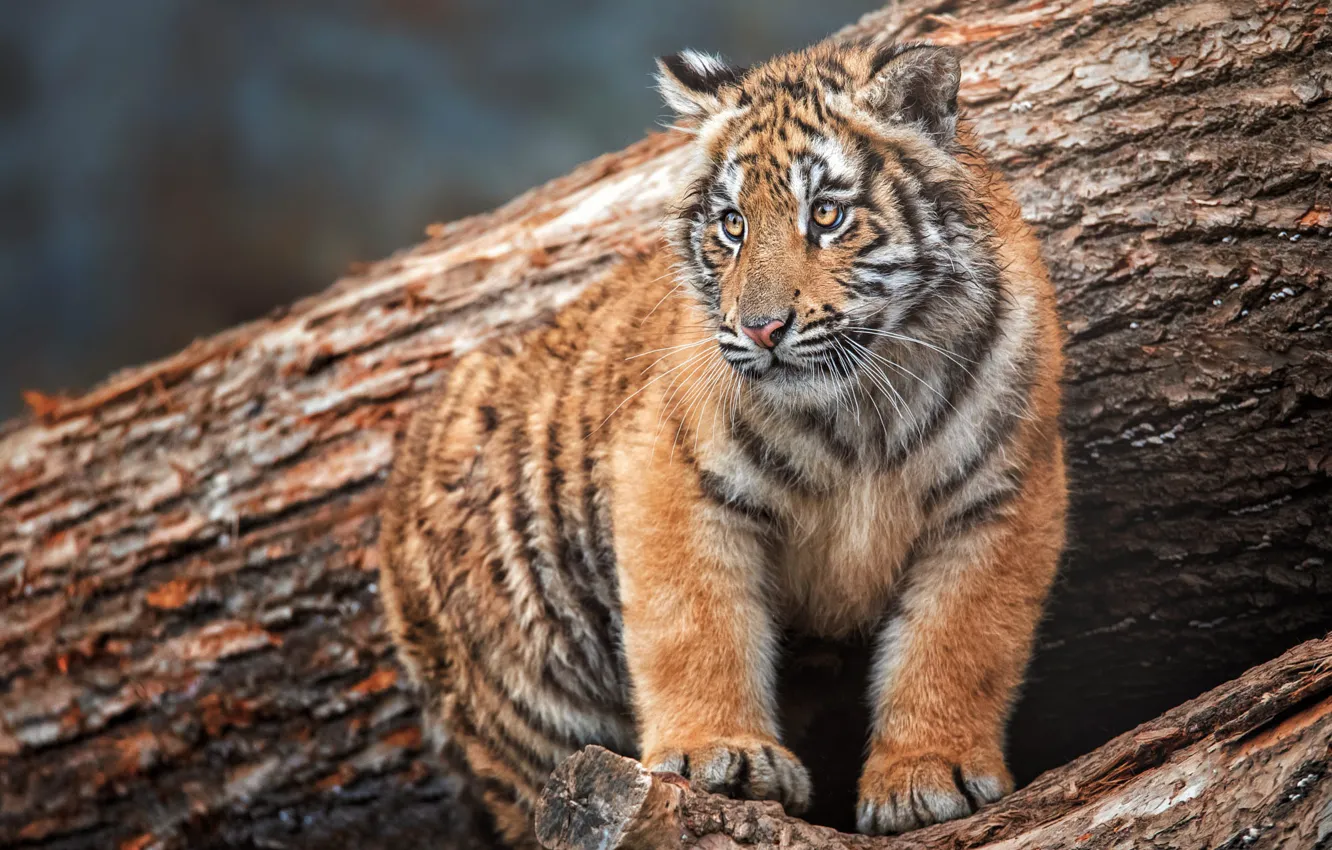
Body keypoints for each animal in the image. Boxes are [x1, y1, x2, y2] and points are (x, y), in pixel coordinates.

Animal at [378, 40, 1066, 846]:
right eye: (733, 225)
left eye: (826, 215)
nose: (762, 329)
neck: (863, 404)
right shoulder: (673, 480)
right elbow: (696, 628)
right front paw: (722, 758)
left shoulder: (1003, 494)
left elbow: (959, 643)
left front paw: (929, 775)